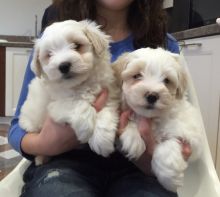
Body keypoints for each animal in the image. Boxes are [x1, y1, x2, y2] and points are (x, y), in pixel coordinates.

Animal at [19, 20, 119, 165]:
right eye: (49, 54)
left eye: (77, 45)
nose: (64, 65)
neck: (81, 85)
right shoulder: (56, 104)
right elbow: (77, 104)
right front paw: (86, 129)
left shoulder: (107, 92)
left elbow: (106, 111)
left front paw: (102, 141)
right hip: (31, 123)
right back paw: (41, 158)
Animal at [112, 47, 204, 192]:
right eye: (137, 76)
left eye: (166, 80)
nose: (152, 95)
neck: (152, 118)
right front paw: (133, 138)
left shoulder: (191, 135)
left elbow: (168, 145)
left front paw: (169, 178)